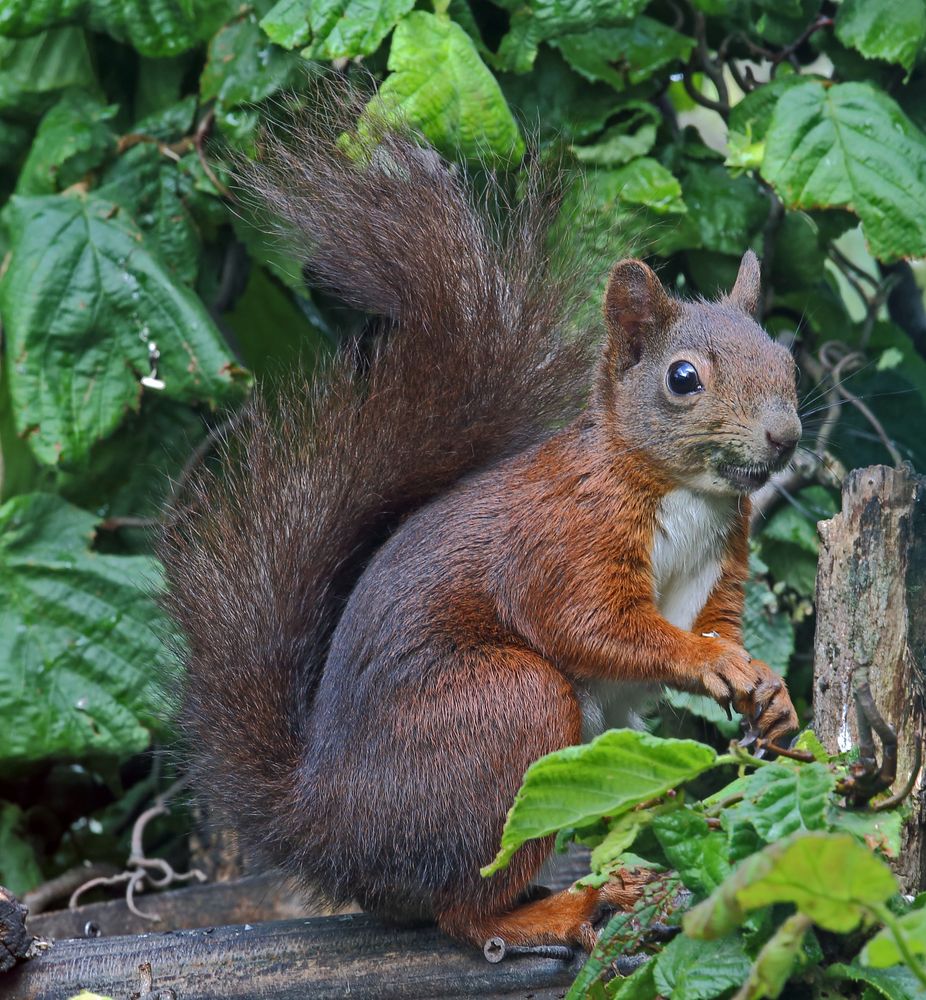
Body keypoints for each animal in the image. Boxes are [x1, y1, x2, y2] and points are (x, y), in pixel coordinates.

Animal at [163, 99, 800, 952]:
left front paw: (768, 688)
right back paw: (563, 910)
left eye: (786, 362)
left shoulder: (722, 568)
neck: (686, 494)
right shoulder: (563, 538)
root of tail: (324, 829)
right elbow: (589, 622)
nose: (785, 438)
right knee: (464, 910)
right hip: (506, 711)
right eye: (683, 378)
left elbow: (718, 623)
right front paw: (708, 664)